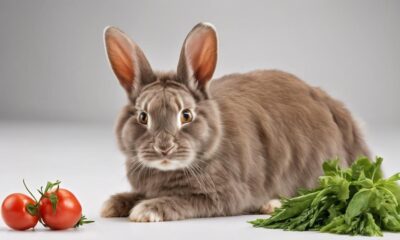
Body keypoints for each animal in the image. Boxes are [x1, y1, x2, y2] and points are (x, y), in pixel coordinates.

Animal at [101, 22, 370, 221]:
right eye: (142, 117)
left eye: (186, 115)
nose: (163, 148)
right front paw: (113, 205)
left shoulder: (222, 195)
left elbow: (183, 200)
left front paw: (146, 210)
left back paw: (272, 205)